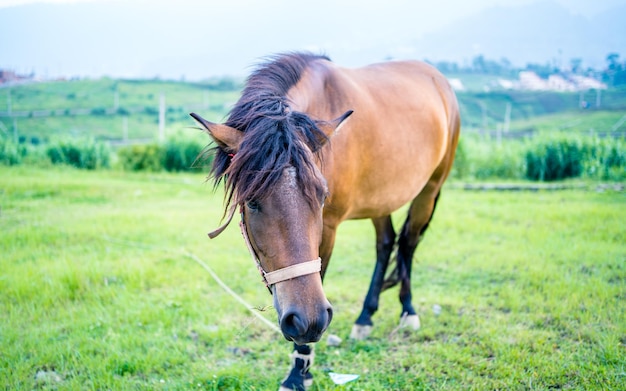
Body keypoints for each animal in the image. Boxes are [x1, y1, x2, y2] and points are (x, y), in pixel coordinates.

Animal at [190, 52, 458, 391]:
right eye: (251, 201)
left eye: (322, 196)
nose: (306, 320)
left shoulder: (328, 229)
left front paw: (298, 371)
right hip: (381, 199)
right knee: (386, 243)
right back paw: (365, 317)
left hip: (430, 188)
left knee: (408, 243)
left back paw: (408, 311)